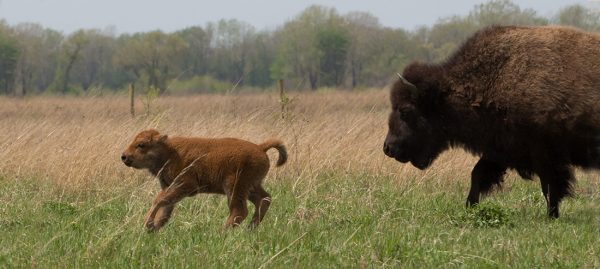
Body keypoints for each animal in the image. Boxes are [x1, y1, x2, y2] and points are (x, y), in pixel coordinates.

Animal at [121, 129, 286, 230]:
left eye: (141, 144)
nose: (124, 156)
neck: (169, 152)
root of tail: (260, 147)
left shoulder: (184, 185)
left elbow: (159, 200)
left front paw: (147, 224)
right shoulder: (169, 187)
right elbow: (165, 208)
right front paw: (153, 227)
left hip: (234, 187)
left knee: (239, 210)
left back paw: (223, 231)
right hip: (251, 187)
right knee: (264, 199)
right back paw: (250, 228)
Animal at [384, 25, 600, 218]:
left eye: (405, 110)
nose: (388, 148)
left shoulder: (544, 154)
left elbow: (549, 186)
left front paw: (551, 215)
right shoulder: (500, 149)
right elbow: (477, 175)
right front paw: (470, 206)